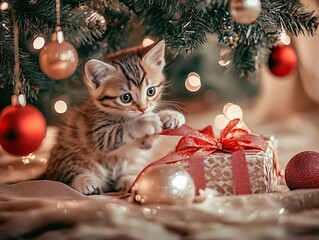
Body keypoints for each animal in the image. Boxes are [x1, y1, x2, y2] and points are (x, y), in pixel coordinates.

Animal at [44, 40, 185, 195]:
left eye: (151, 91)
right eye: (126, 98)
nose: (143, 108)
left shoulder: (142, 145)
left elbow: (146, 141)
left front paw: (168, 115)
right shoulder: (96, 133)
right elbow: (118, 131)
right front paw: (145, 120)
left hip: (135, 161)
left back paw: (129, 180)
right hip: (68, 153)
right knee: (66, 174)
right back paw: (86, 182)